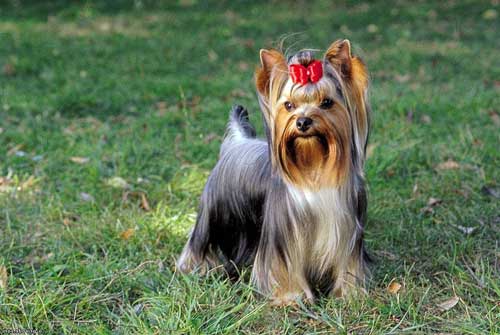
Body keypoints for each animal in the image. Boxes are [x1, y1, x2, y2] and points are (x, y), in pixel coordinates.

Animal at [177, 39, 372, 304]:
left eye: (327, 102)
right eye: (289, 105)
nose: (302, 122)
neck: (314, 170)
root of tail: (237, 142)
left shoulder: (348, 229)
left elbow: (347, 262)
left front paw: (350, 294)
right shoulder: (281, 234)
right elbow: (283, 266)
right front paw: (291, 296)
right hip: (213, 213)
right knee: (199, 240)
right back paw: (193, 267)